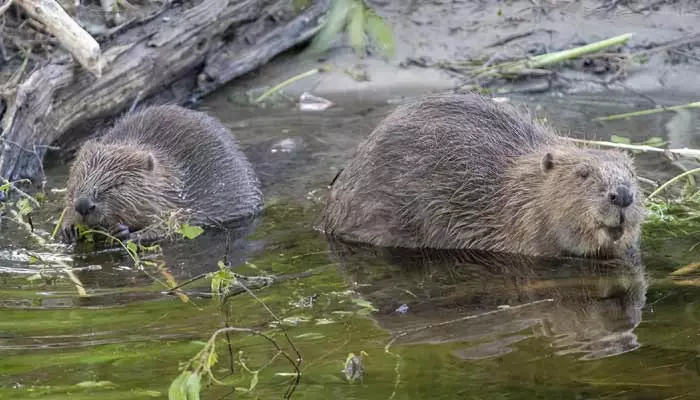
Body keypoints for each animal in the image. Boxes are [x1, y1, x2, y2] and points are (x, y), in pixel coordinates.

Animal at [59, 104, 262, 244]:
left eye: (118, 184)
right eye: (78, 179)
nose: (83, 205)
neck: (169, 177)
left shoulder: (179, 201)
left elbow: (172, 225)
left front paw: (124, 233)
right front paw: (68, 229)